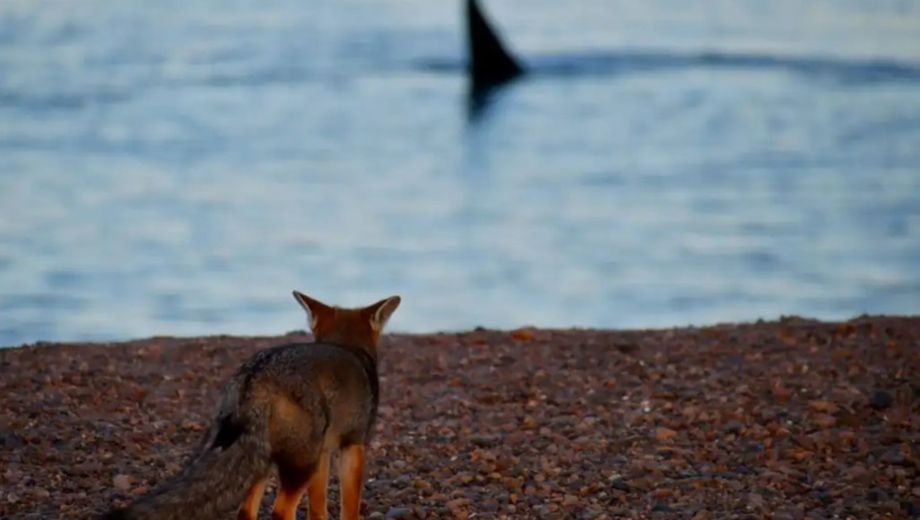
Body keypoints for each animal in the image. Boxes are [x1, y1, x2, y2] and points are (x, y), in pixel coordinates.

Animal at [103, 291, 401, 520]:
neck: (347, 347)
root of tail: (254, 375)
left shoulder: (325, 452)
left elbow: (318, 510)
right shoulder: (353, 445)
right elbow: (349, 508)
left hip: (265, 460)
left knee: (246, 512)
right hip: (300, 463)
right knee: (280, 511)